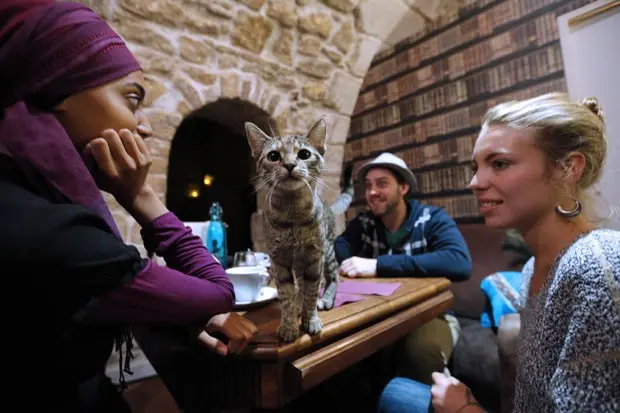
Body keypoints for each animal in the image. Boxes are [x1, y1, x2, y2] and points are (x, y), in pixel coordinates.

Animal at [247, 116, 354, 342]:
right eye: (273, 156)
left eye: (304, 154)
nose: (289, 164)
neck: (293, 214)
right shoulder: (280, 262)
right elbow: (287, 295)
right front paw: (289, 324)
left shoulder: (314, 259)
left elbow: (312, 293)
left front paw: (310, 320)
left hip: (327, 252)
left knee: (333, 277)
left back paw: (326, 298)